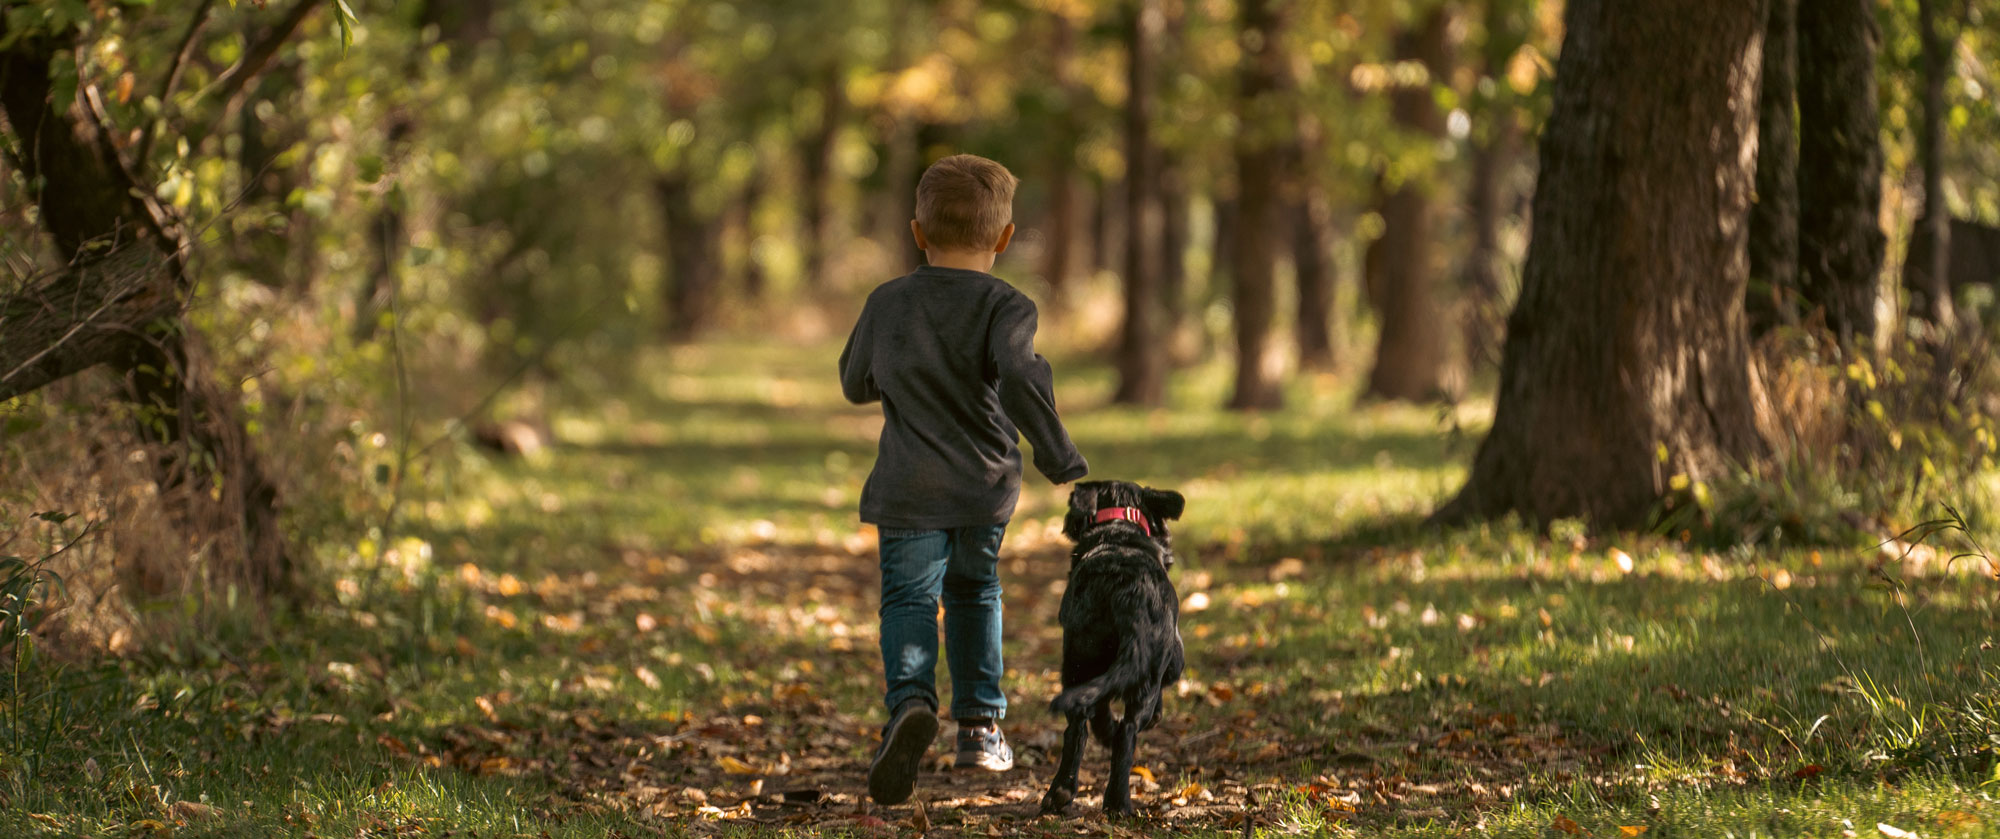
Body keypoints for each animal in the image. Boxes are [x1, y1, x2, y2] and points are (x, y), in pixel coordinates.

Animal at [1040, 481, 1176, 815]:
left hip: (1078, 661)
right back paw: (1118, 802)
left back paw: (1060, 792)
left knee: (1079, 725)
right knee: (1127, 732)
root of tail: (1128, 595)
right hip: (1145, 674)